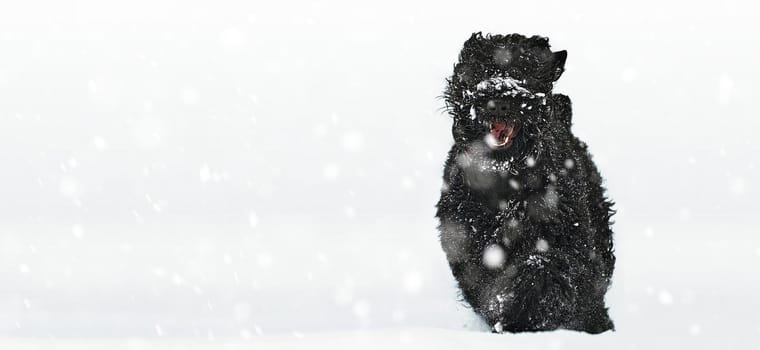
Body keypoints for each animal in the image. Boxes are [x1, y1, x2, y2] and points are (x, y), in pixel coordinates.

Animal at [436, 32, 616, 334]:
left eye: (524, 71)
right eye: (481, 69)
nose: (498, 100)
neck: (505, 180)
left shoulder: (560, 236)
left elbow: (541, 269)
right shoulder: (465, 237)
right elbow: (484, 282)